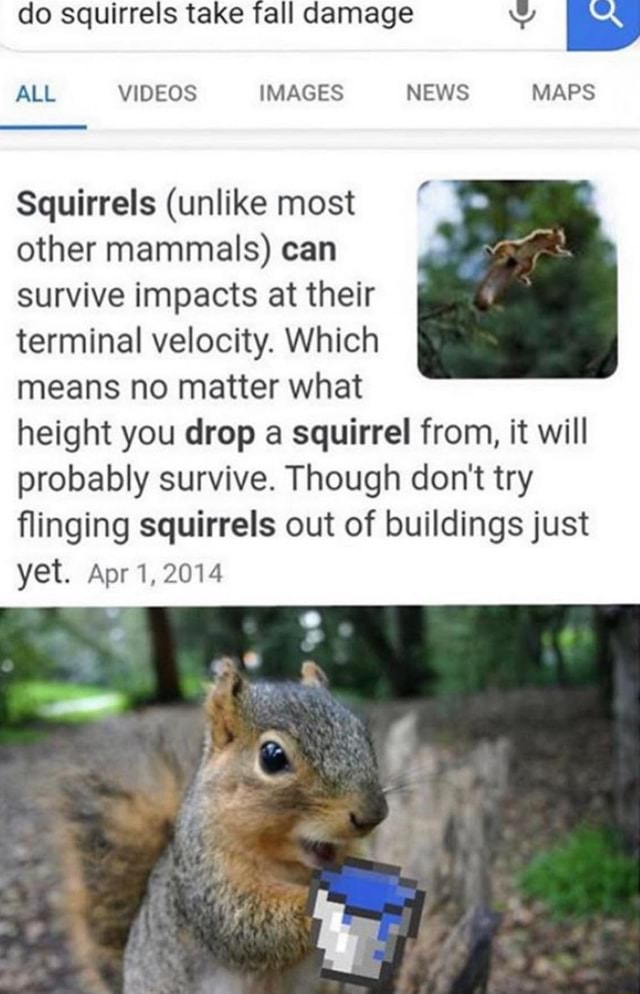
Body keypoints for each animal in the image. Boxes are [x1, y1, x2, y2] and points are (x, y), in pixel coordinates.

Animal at [56, 660, 388, 994]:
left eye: (363, 735)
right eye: (272, 756)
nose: (373, 815)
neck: (295, 869)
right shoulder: (206, 879)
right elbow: (245, 922)